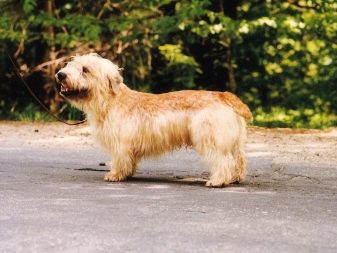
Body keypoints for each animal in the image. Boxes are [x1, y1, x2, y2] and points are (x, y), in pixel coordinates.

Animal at [55, 53, 251, 187]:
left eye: (85, 70)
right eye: (70, 64)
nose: (60, 74)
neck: (109, 101)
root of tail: (223, 95)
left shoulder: (120, 143)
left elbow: (119, 159)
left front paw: (115, 174)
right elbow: (129, 161)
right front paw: (127, 173)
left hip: (211, 140)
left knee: (222, 160)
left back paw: (218, 180)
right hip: (233, 142)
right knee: (238, 159)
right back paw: (235, 178)